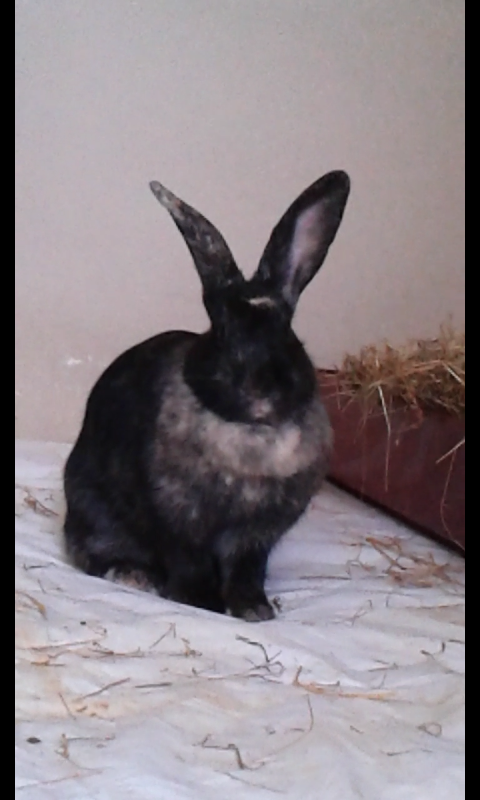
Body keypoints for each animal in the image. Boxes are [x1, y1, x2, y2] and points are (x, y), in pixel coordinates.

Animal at [63, 170, 351, 621]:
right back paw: (133, 575)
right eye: (221, 331)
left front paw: (254, 610)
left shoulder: (255, 538)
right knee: (93, 552)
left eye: (287, 333)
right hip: (92, 511)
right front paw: (202, 603)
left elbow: (246, 571)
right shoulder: (179, 524)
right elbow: (189, 563)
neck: (251, 433)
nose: (260, 393)